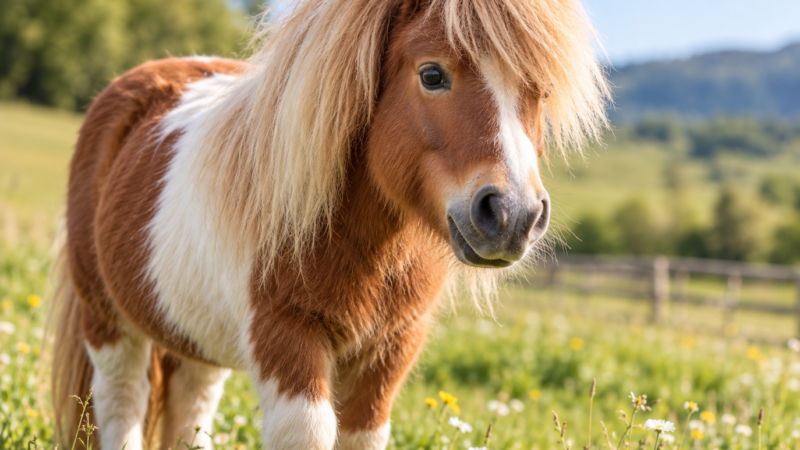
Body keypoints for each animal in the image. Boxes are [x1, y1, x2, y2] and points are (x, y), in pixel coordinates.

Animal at [49, 0, 609, 448]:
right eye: (432, 75)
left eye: (541, 92)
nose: (514, 215)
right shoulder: (285, 337)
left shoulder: (390, 350)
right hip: (108, 322)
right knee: (122, 402)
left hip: (194, 340)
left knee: (190, 410)